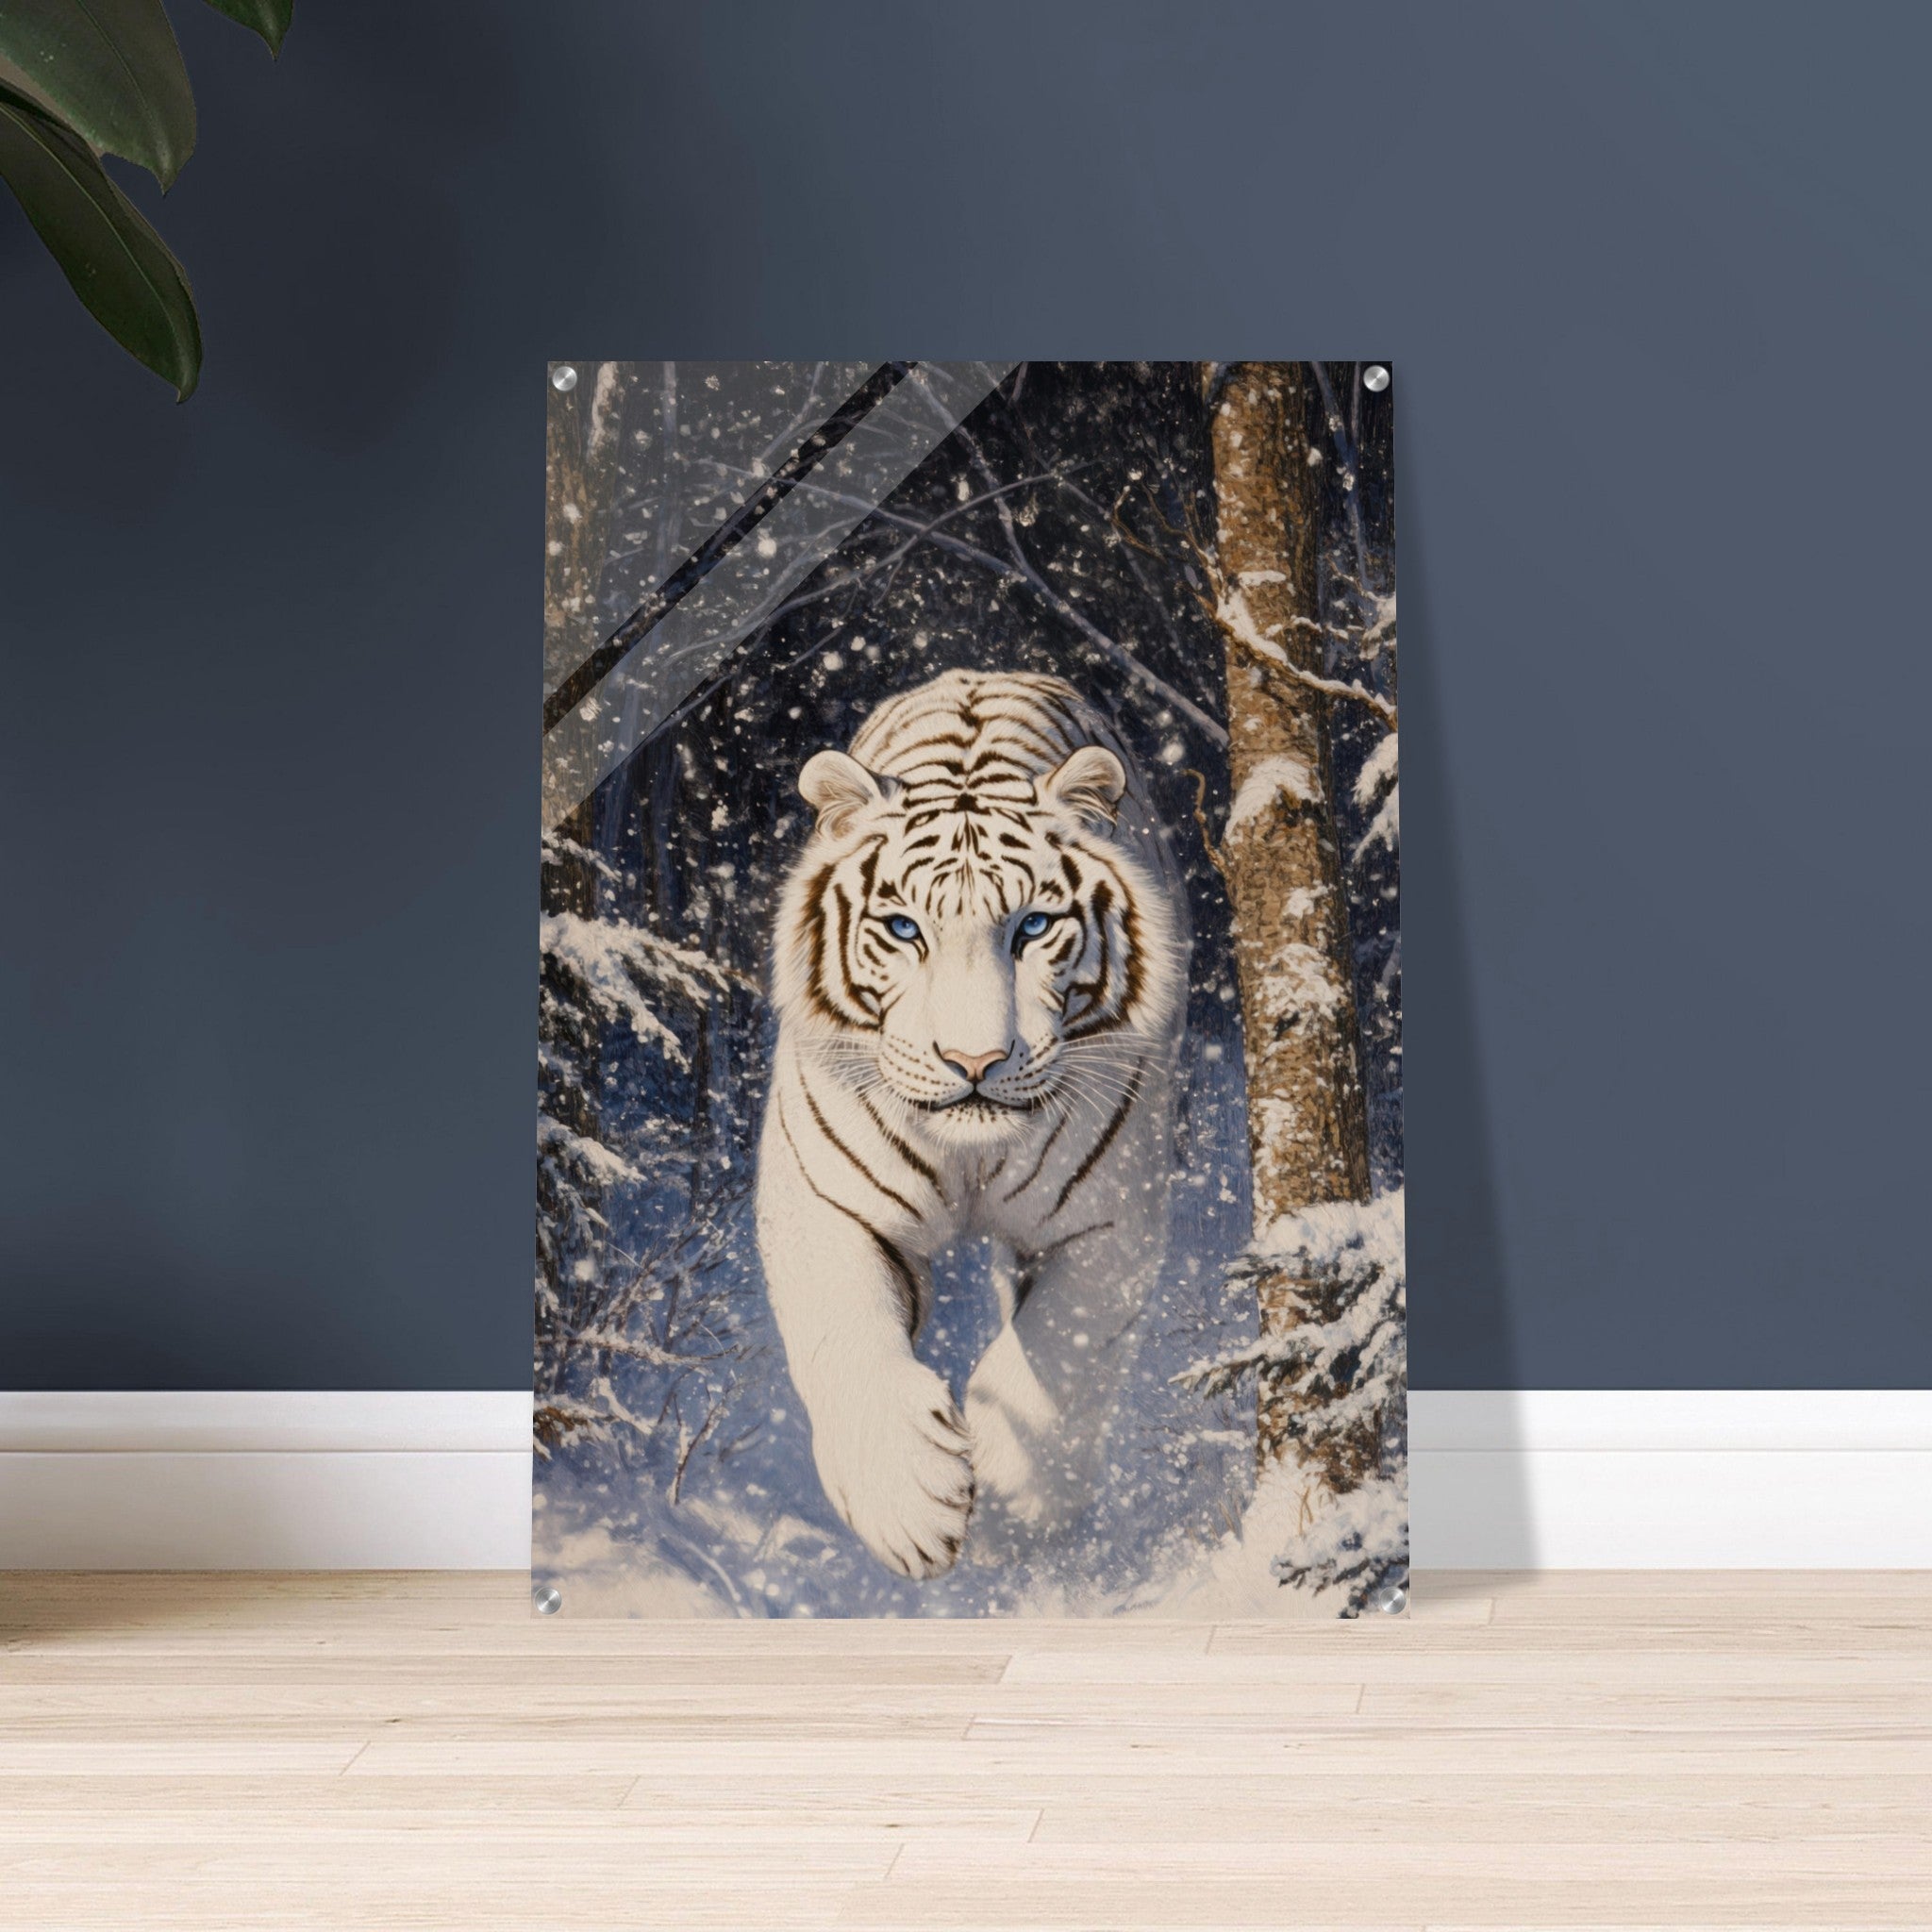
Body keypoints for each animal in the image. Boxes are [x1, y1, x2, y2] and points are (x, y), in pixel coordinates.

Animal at [756, 668, 1190, 1579]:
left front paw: (1017, 1510)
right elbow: (844, 1331)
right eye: (902, 929)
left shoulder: (1108, 1219)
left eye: (1034, 925)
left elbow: (1058, 1353)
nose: (974, 1060)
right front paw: (906, 1502)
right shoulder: (824, 1201)